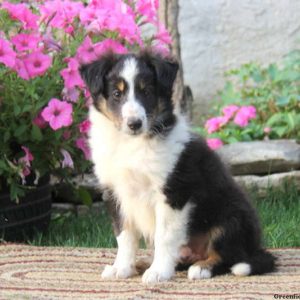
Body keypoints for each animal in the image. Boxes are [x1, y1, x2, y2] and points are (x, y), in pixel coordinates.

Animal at [78, 51, 276, 284]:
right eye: (117, 94)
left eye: (147, 92)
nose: (134, 124)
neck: (131, 144)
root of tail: (255, 248)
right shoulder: (115, 192)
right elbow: (124, 235)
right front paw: (122, 268)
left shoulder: (173, 193)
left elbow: (164, 236)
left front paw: (158, 272)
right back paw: (146, 263)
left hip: (231, 218)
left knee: (229, 256)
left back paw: (202, 268)